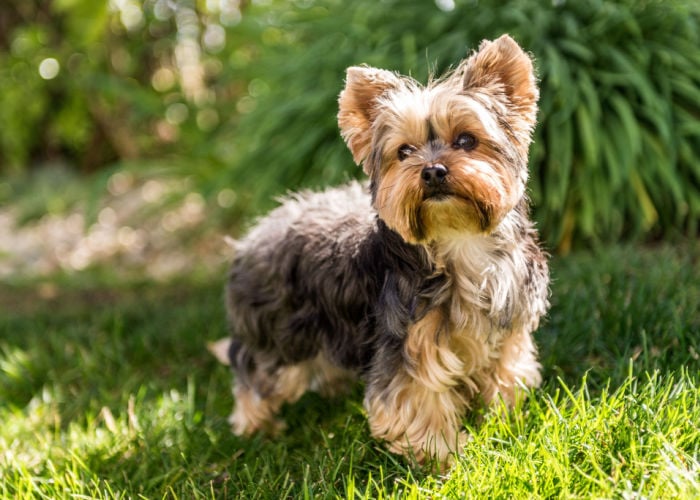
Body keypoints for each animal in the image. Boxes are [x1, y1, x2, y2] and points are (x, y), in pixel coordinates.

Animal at [211, 34, 548, 464]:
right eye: (404, 152)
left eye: (466, 140)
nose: (432, 171)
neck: (458, 241)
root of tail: (251, 236)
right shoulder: (407, 343)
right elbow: (419, 400)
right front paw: (441, 457)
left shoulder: (508, 328)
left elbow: (505, 372)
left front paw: (502, 420)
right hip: (279, 333)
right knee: (255, 372)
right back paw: (256, 428)